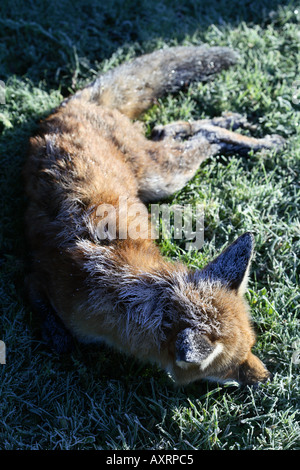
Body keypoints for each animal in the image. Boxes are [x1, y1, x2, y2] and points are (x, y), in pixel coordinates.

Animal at [23, 46, 284, 388]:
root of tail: (77, 104)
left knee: (187, 131)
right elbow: (50, 322)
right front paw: (56, 337)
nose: (267, 377)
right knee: (189, 134)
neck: (108, 284)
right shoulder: (38, 276)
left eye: (251, 346)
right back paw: (248, 134)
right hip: (163, 176)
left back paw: (248, 132)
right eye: (233, 367)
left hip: (160, 176)